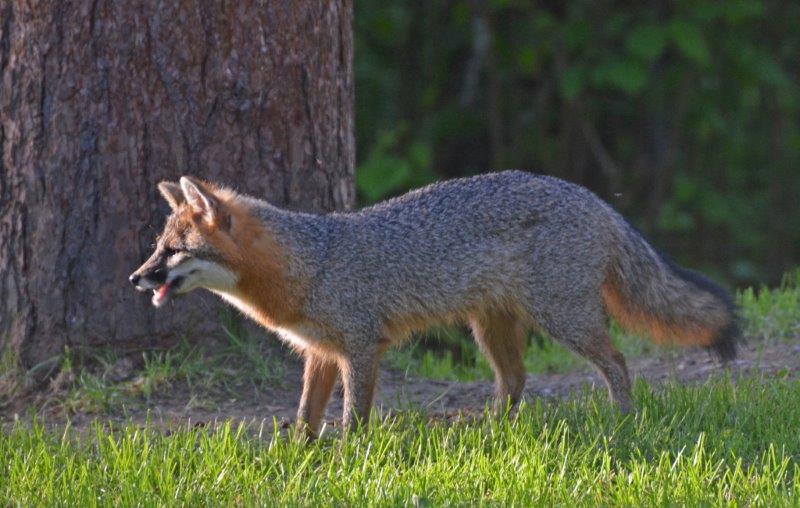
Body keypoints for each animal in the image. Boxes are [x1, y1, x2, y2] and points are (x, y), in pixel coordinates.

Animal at [130, 171, 739, 436]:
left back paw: (623, 421)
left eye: (173, 251)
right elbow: (305, 416)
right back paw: (494, 431)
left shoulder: (361, 348)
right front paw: (299, 458)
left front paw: (349, 460)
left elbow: (354, 417)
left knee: (616, 362)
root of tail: (591, 197)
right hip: (490, 330)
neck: (311, 262)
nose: (136, 278)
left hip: (563, 319)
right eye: (158, 247)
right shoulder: (320, 353)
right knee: (515, 381)